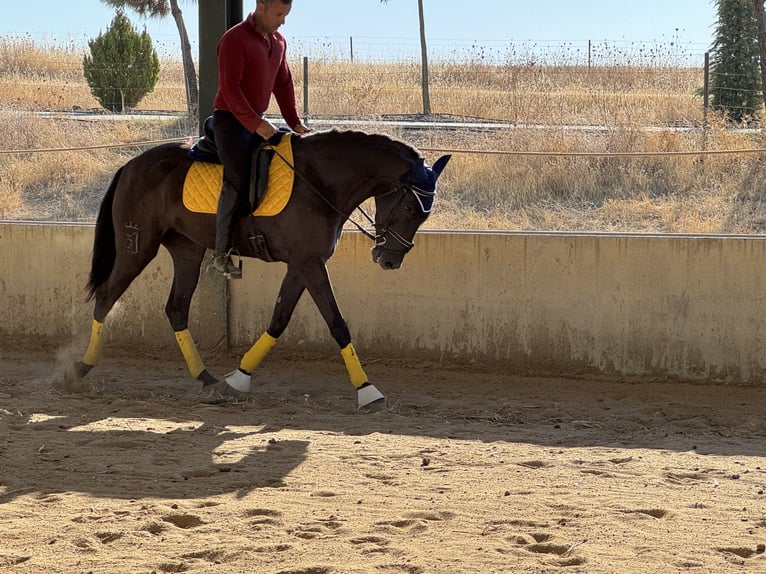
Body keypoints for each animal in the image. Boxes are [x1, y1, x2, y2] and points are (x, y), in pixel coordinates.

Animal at [70, 129, 452, 412]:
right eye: (410, 207)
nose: (389, 260)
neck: (319, 181)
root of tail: (131, 165)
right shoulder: (309, 264)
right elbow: (337, 322)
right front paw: (367, 390)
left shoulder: (302, 264)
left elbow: (279, 319)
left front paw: (239, 377)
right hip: (137, 248)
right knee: (106, 297)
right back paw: (80, 368)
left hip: (187, 250)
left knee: (176, 308)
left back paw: (207, 380)